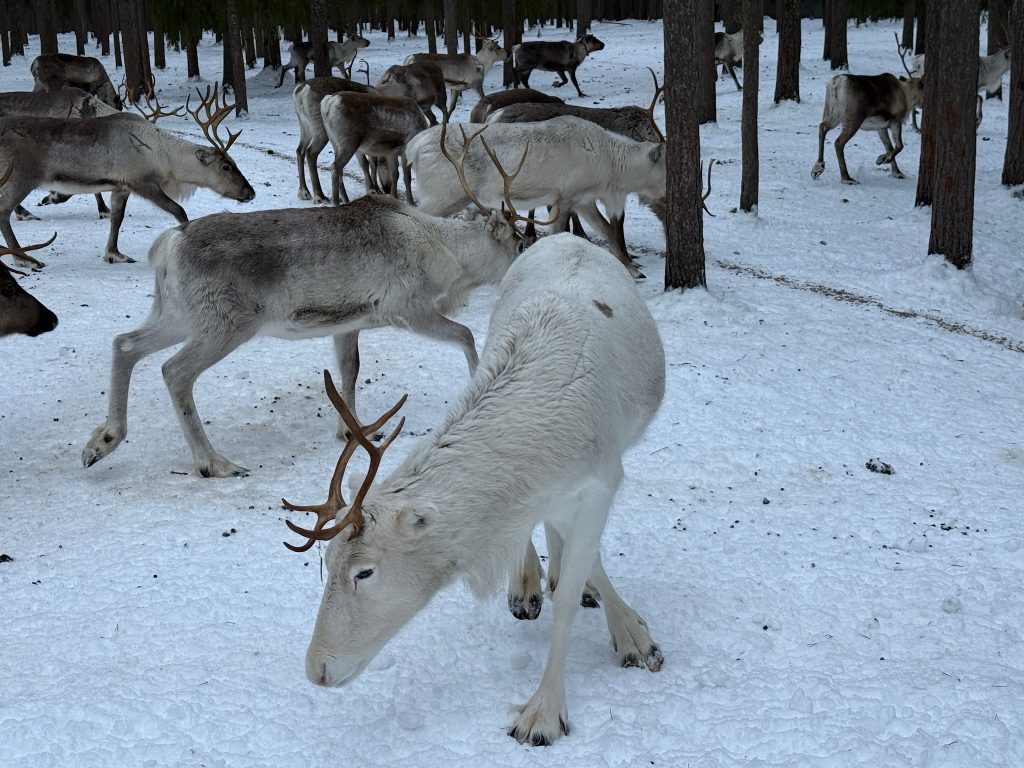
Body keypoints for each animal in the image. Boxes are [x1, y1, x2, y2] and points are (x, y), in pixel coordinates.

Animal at [0, 84, 254, 268]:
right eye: (226, 166)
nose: (250, 192)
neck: (163, 156)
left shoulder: (120, 188)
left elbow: (117, 219)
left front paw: (114, 254)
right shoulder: (143, 183)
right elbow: (178, 210)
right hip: (21, 177)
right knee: (4, 212)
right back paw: (24, 258)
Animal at [283, 230, 666, 746]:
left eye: (364, 572)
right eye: (327, 560)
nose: (317, 670)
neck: (544, 451)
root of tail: (565, 234)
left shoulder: (601, 478)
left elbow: (572, 592)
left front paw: (548, 709)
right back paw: (528, 584)